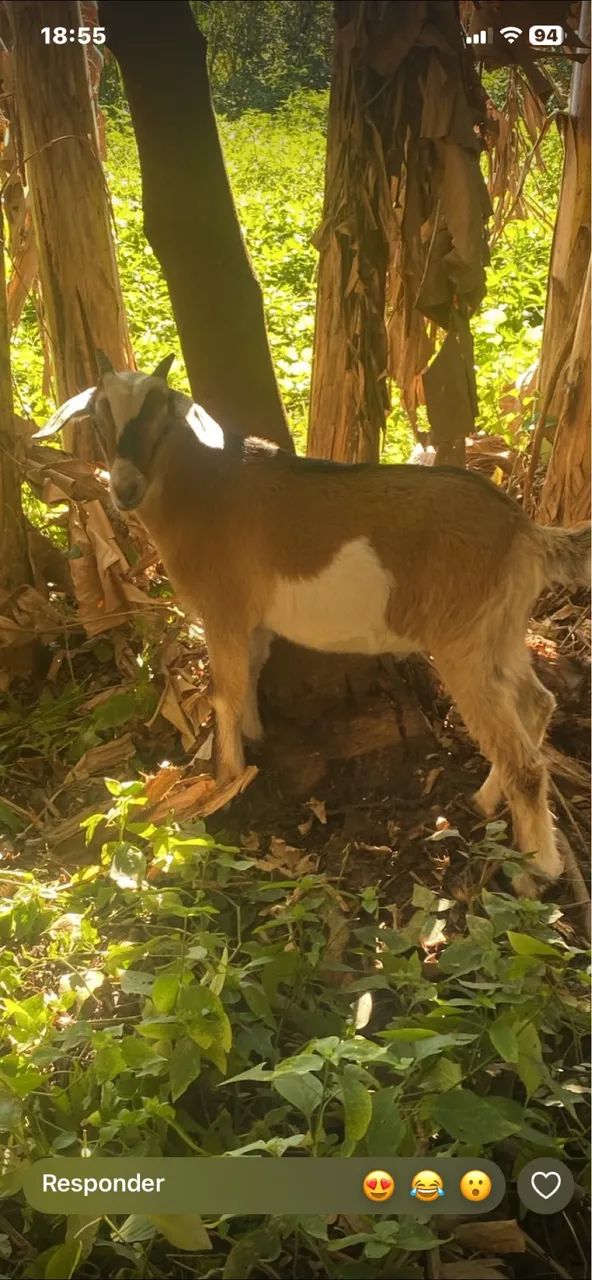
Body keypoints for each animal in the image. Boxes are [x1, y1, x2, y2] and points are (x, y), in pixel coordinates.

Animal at [88, 356, 589, 897]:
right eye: (98, 417)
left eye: (160, 414)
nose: (124, 489)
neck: (203, 489)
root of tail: (524, 531)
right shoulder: (253, 618)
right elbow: (250, 672)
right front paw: (254, 739)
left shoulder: (223, 607)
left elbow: (224, 691)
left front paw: (226, 781)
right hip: (503, 628)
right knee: (537, 703)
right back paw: (485, 799)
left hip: (463, 639)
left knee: (524, 759)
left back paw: (539, 866)